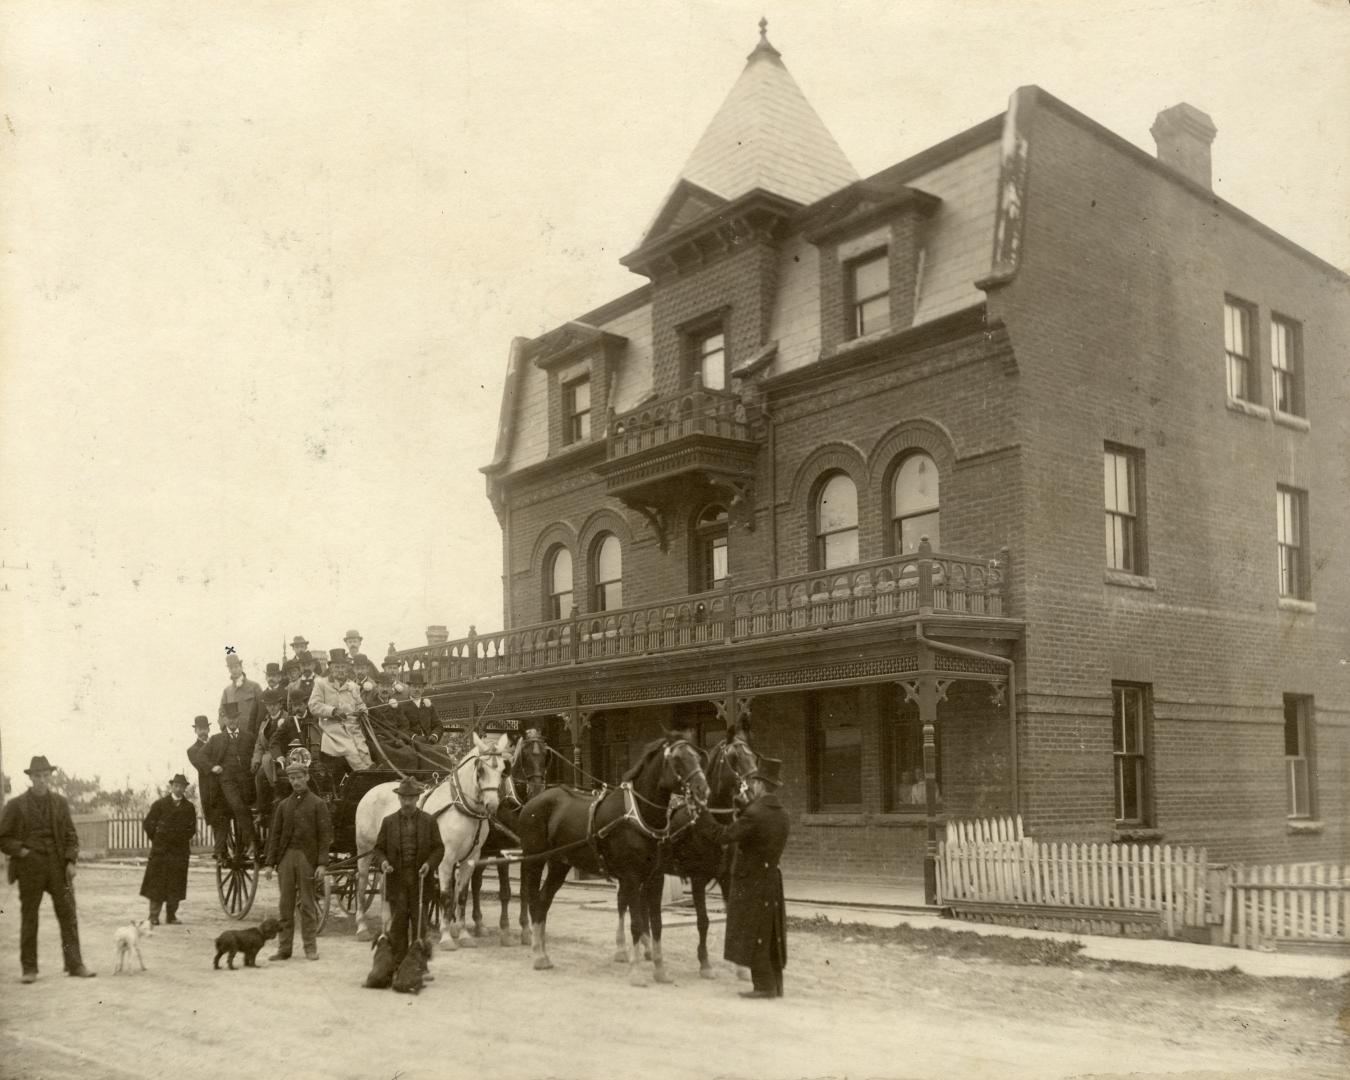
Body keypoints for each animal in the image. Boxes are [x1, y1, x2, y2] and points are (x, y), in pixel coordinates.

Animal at [353, 729, 510, 950]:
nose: (492, 805)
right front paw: (446, 937)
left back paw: (389, 923)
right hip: (364, 850)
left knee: (386, 885)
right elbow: (446, 896)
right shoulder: (446, 859)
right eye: (480, 770)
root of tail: (372, 790)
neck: (460, 807)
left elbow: (462, 897)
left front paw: (463, 935)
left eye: (503, 770)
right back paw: (361, 927)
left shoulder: (470, 859)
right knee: (361, 882)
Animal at [515, 739, 707, 982]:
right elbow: (636, 923)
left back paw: (544, 956)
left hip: (560, 864)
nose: (702, 788)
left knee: (543, 902)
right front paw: (635, 972)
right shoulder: (632, 878)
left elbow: (656, 923)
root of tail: (532, 802)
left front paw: (660, 971)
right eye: (677, 760)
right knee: (532, 900)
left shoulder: (655, 878)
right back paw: (537, 952)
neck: (637, 815)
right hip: (534, 861)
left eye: (698, 757)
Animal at [615, 734, 756, 977]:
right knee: (623, 901)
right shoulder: (698, 878)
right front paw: (705, 963)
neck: (715, 824)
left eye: (754, 756)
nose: (754, 791)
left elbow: (731, 917)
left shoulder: (726, 878)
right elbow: (703, 921)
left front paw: (739, 968)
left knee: (641, 902)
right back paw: (622, 949)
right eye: (734, 758)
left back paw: (647, 946)